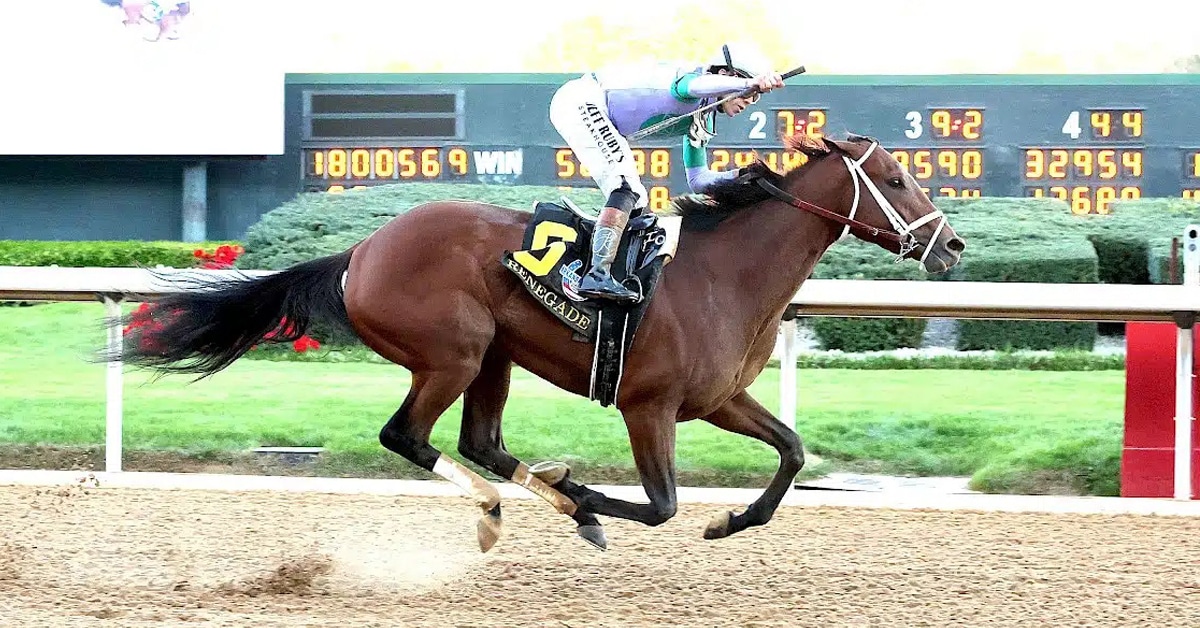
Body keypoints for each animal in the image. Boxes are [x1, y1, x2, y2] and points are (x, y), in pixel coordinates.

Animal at [105, 132, 965, 552]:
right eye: (895, 179)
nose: (951, 246)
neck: (724, 273)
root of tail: (361, 252)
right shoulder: (647, 404)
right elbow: (661, 507)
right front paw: (590, 499)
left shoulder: (718, 398)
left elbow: (790, 450)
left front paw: (729, 521)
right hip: (453, 351)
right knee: (408, 436)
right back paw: (508, 507)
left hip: (494, 355)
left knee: (479, 441)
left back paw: (540, 496)